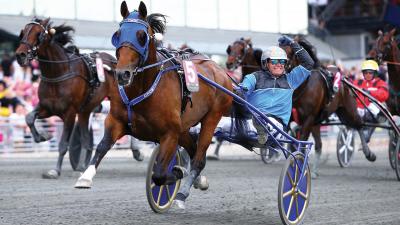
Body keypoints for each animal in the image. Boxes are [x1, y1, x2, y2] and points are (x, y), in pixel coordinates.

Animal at [15, 18, 115, 178]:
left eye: (38, 34)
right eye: (22, 32)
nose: (21, 55)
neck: (57, 74)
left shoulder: (70, 113)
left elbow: (63, 144)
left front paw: (55, 170)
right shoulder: (47, 107)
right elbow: (29, 117)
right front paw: (43, 136)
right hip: (85, 111)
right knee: (86, 140)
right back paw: (83, 166)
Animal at [74, 0, 231, 197]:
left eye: (141, 36)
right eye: (117, 35)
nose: (122, 74)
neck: (142, 89)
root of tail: (219, 70)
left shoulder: (169, 134)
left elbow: (159, 175)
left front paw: (178, 172)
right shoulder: (116, 121)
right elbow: (102, 146)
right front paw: (85, 177)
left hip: (212, 117)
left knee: (199, 156)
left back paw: (186, 187)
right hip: (184, 127)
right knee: (193, 149)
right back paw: (198, 179)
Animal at [282, 36, 376, 178]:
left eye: (287, 54)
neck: (302, 87)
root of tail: (343, 78)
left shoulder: (309, 118)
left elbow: (302, 140)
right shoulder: (294, 118)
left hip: (347, 111)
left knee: (358, 125)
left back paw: (368, 153)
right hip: (319, 121)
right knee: (319, 145)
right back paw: (314, 170)